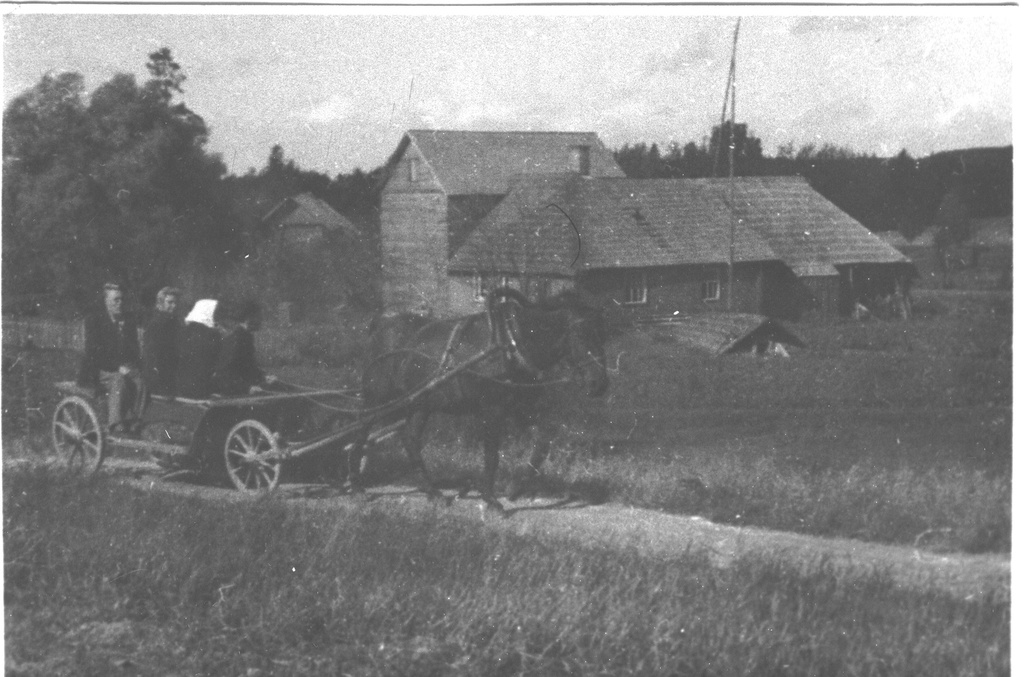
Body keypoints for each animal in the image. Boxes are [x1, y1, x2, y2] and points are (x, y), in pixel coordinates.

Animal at [350, 284, 606, 508]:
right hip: (376, 399)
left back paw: (433, 492)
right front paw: (491, 500)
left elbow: (542, 443)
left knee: (410, 439)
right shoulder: (492, 410)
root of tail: (380, 324)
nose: (600, 383)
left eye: (602, 335)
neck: (510, 343)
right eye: (581, 334)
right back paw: (356, 487)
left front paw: (514, 490)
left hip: (420, 404)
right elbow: (491, 456)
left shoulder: (520, 409)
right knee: (361, 432)